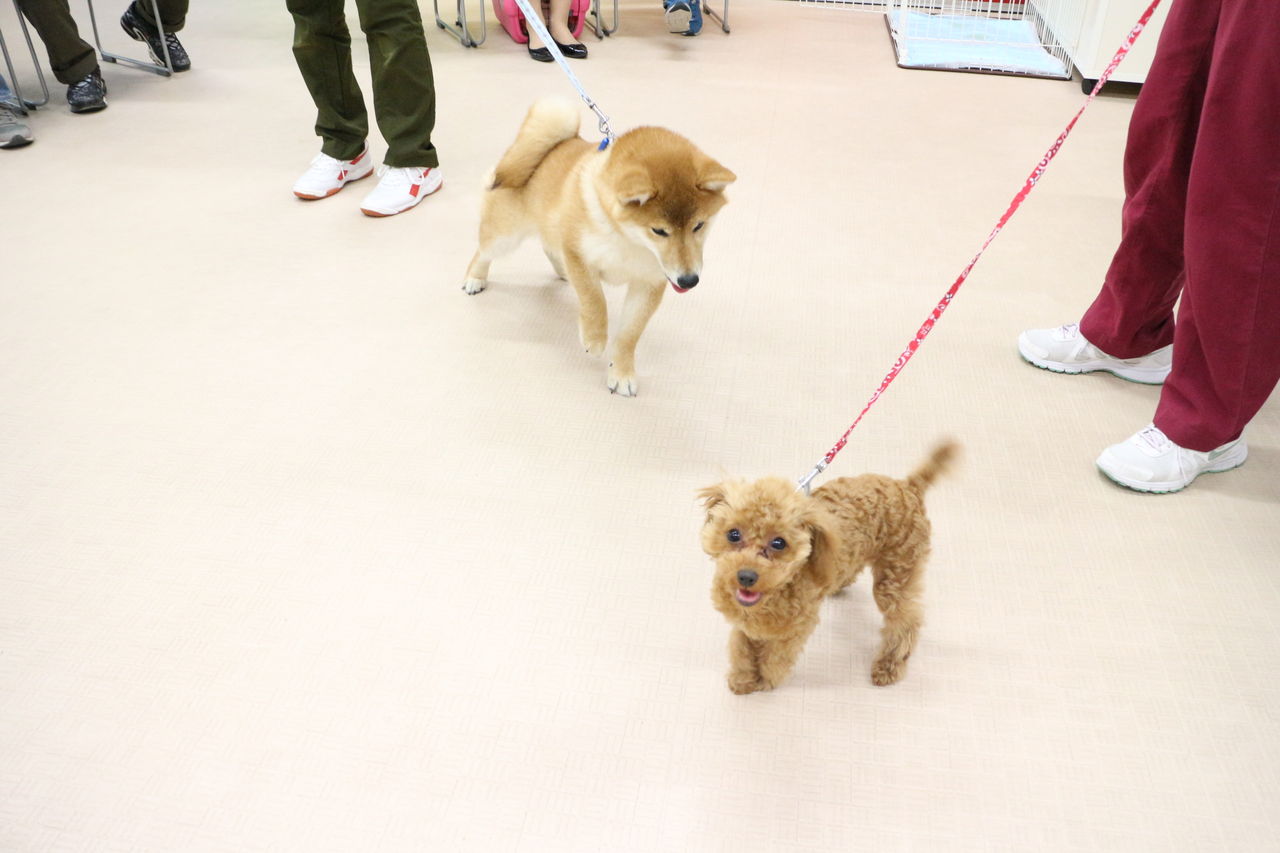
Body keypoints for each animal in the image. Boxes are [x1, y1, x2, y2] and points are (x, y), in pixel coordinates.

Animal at [462, 98, 736, 397]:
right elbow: (594, 300)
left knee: (548, 246)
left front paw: (622, 373)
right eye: (659, 231)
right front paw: (594, 337)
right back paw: (474, 278)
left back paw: (560, 271)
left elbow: (629, 335)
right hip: (505, 237)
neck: (628, 240)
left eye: (699, 226)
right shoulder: (578, 254)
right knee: (482, 251)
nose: (688, 281)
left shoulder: (648, 283)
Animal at [698, 442, 957, 694]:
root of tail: (909, 487)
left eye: (779, 543)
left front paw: (764, 680)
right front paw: (742, 679)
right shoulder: (744, 624)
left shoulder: (795, 629)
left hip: (895, 576)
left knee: (906, 622)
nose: (746, 576)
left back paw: (889, 666)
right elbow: (741, 649)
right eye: (733, 534)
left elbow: (775, 657)